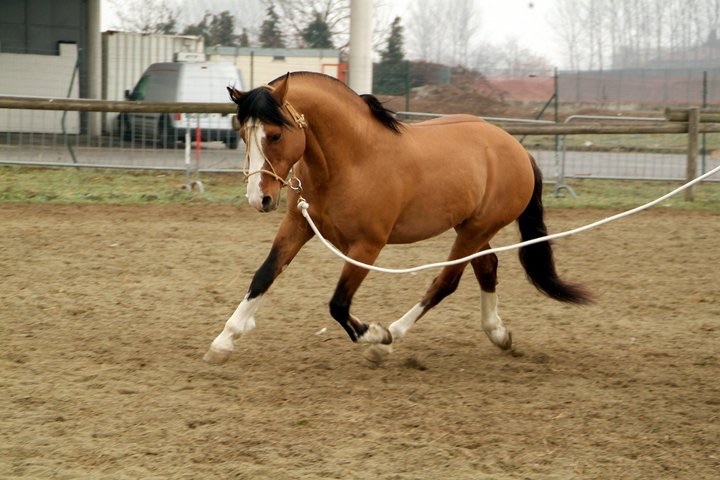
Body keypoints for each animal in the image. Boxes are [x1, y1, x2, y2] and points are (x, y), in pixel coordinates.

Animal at [204, 70, 592, 364]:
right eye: (243, 134)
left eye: (274, 134)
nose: (259, 198)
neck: (353, 160)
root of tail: (517, 149)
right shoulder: (298, 226)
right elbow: (265, 275)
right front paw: (224, 340)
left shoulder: (367, 246)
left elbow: (338, 304)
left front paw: (375, 334)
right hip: (470, 228)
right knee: (487, 267)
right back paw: (498, 333)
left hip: (476, 230)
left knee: (445, 283)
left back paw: (391, 337)